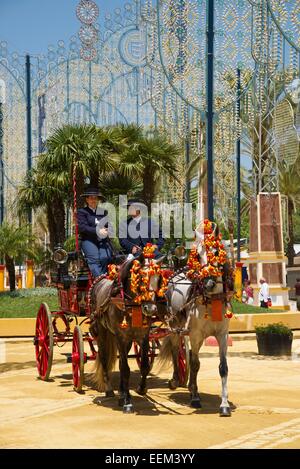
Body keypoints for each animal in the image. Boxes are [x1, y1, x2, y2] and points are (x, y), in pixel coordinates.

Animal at [159, 221, 234, 414]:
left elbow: (223, 368)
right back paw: (176, 380)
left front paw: (224, 405)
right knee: (176, 349)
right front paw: (195, 397)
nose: (208, 283)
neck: (212, 300)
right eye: (198, 256)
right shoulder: (195, 334)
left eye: (216, 251)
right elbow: (194, 364)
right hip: (175, 326)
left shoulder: (223, 335)